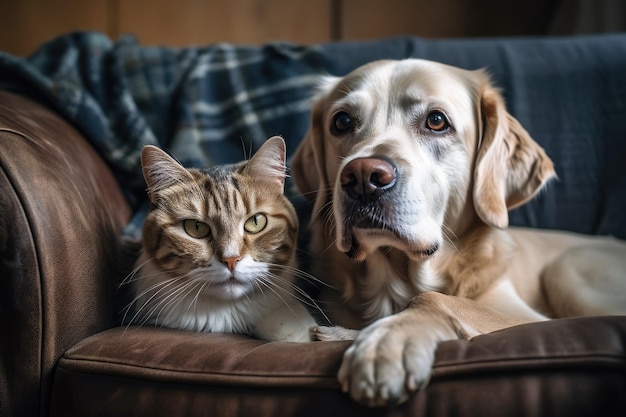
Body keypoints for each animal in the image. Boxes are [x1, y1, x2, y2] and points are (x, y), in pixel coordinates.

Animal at [292, 59, 624, 406]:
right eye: (342, 122)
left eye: (436, 121)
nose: (362, 177)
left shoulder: (535, 321)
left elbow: (434, 298)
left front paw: (386, 341)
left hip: (566, 271)